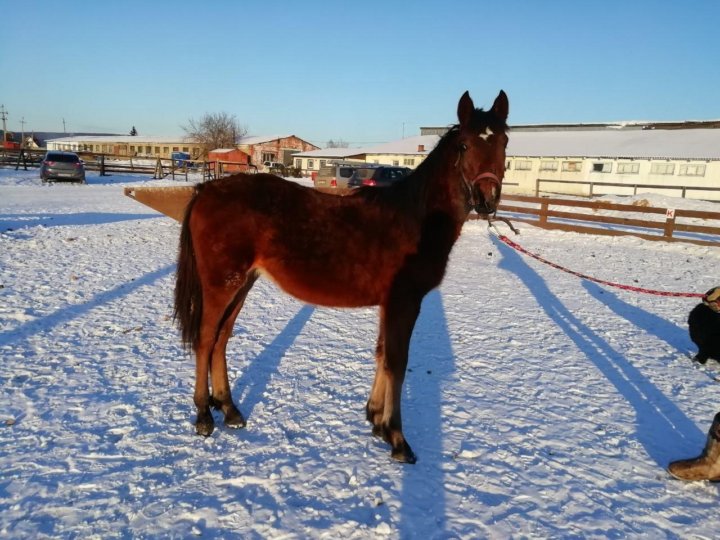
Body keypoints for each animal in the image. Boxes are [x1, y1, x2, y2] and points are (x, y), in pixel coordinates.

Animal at [174, 90, 510, 462]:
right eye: (465, 145)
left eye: (505, 142)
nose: (487, 199)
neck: (415, 218)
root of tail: (206, 191)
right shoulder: (404, 301)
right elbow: (397, 361)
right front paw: (397, 438)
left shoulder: (390, 304)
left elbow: (382, 354)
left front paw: (376, 420)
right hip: (221, 284)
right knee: (205, 339)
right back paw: (203, 416)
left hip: (243, 283)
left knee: (221, 339)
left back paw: (229, 409)